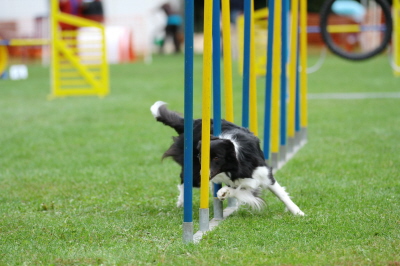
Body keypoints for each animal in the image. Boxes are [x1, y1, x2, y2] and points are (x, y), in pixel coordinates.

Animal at [152, 101, 304, 215]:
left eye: (217, 158)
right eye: (201, 156)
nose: (202, 175)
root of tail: (194, 122)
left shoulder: (263, 173)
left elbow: (280, 193)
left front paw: (297, 212)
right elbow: (240, 189)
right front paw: (225, 192)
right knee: (185, 182)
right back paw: (182, 202)